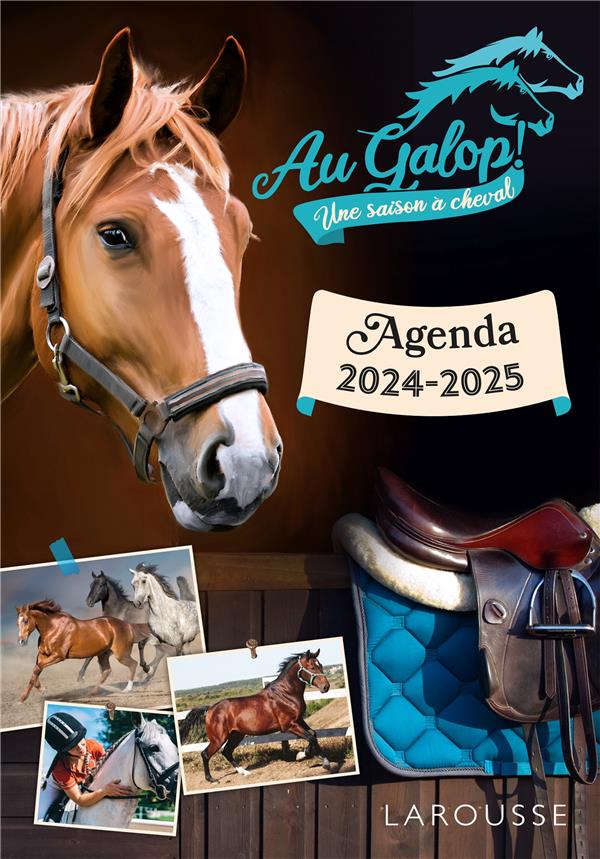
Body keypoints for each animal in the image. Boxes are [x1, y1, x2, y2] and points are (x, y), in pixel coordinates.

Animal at [16, 600, 147, 701]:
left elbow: (37, 669)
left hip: (121, 655)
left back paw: (127, 689)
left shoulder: (59, 656)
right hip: (103, 655)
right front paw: (41, 691)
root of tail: (128, 625)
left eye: (26, 620)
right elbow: (36, 670)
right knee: (106, 671)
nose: (21, 641)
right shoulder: (42, 655)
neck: (52, 628)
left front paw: (23, 697)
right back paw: (92, 692)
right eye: (17, 623)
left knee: (133, 664)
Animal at [179, 650, 330, 783]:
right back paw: (211, 779)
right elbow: (310, 737)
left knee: (226, 752)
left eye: (321, 665)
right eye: (312, 667)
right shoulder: (289, 725)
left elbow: (313, 734)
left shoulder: (299, 720)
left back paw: (244, 772)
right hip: (218, 739)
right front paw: (323, 763)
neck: (285, 693)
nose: (326, 687)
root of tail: (210, 709)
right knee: (206, 754)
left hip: (236, 735)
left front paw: (303, 755)